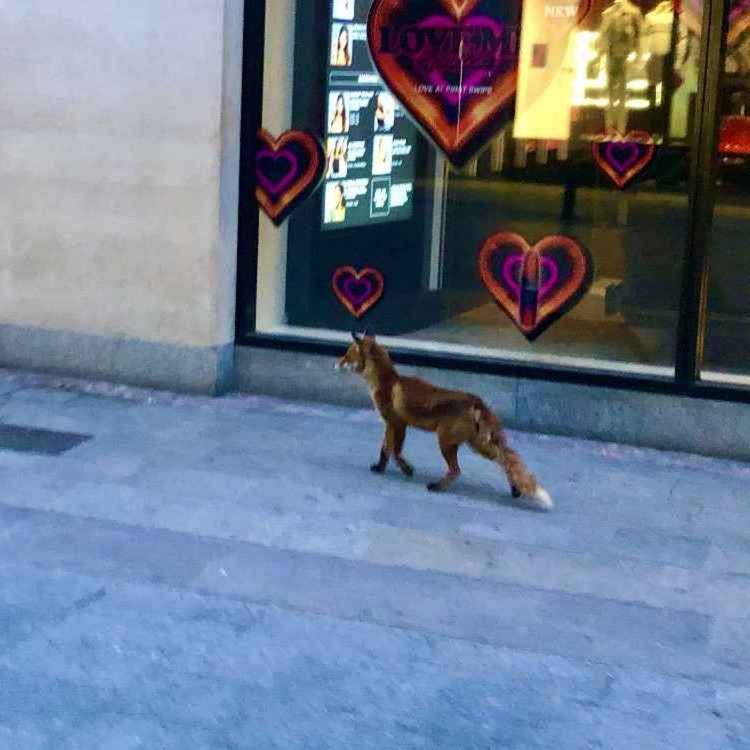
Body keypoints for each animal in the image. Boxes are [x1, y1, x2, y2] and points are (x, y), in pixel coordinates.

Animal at [336, 331, 553, 510]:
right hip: (478, 444)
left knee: (458, 470)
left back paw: (437, 486)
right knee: (506, 459)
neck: (386, 381)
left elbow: (395, 452)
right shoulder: (393, 424)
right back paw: (515, 489)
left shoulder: (396, 423)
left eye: (347, 354)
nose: (336, 363)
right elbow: (385, 450)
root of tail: (476, 401)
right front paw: (381, 468)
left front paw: (406, 469)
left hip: (446, 441)